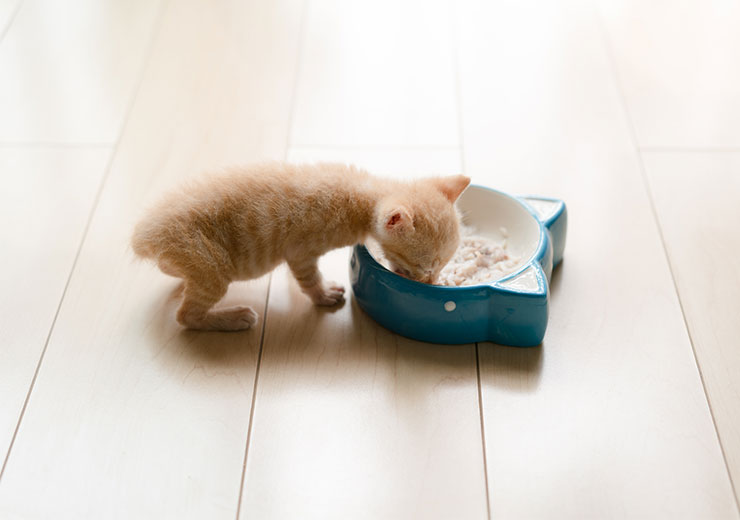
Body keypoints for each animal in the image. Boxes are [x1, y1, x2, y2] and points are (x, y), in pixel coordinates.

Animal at [132, 160, 468, 332]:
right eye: (425, 266)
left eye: (440, 266)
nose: (432, 282)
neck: (360, 196)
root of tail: (145, 237)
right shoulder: (300, 253)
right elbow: (309, 280)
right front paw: (324, 295)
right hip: (213, 269)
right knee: (185, 317)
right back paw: (233, 318)